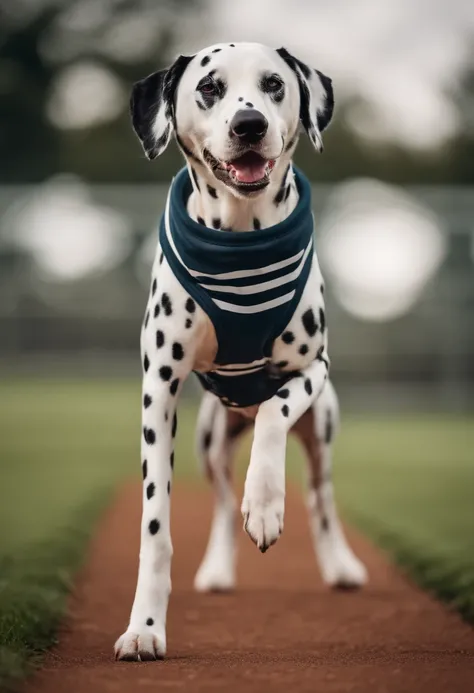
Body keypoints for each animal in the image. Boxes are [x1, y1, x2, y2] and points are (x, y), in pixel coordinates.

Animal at [115, 42, 366, 660]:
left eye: (274, 83)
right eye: (210, 87)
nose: (248, 124)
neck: (240, 238)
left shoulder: (311, 368)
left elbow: (276, 412)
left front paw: (268, 504)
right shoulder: (160, 387)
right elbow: (156, 526)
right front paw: (145, 628)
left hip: (322, 426)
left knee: (321, 498)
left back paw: (340, 565)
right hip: (210, 438)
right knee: (225, 503)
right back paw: (217, 569)